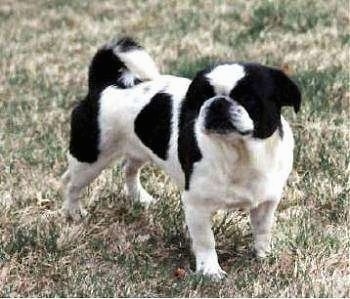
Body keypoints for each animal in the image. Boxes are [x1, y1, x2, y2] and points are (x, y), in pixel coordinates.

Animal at [62, 37, 300, 278]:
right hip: (90, 158)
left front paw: (264, 255)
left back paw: (140, 198)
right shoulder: (196, 206)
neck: (240, 153)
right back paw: (74, 212)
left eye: (249, 99)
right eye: (203, 96)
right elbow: (205, 241)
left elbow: (262, 230)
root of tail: (104, 86)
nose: (218, 102)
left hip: (138, 149)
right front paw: (210, 270)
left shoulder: (267, 202)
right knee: (71, 184)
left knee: (129, 169)